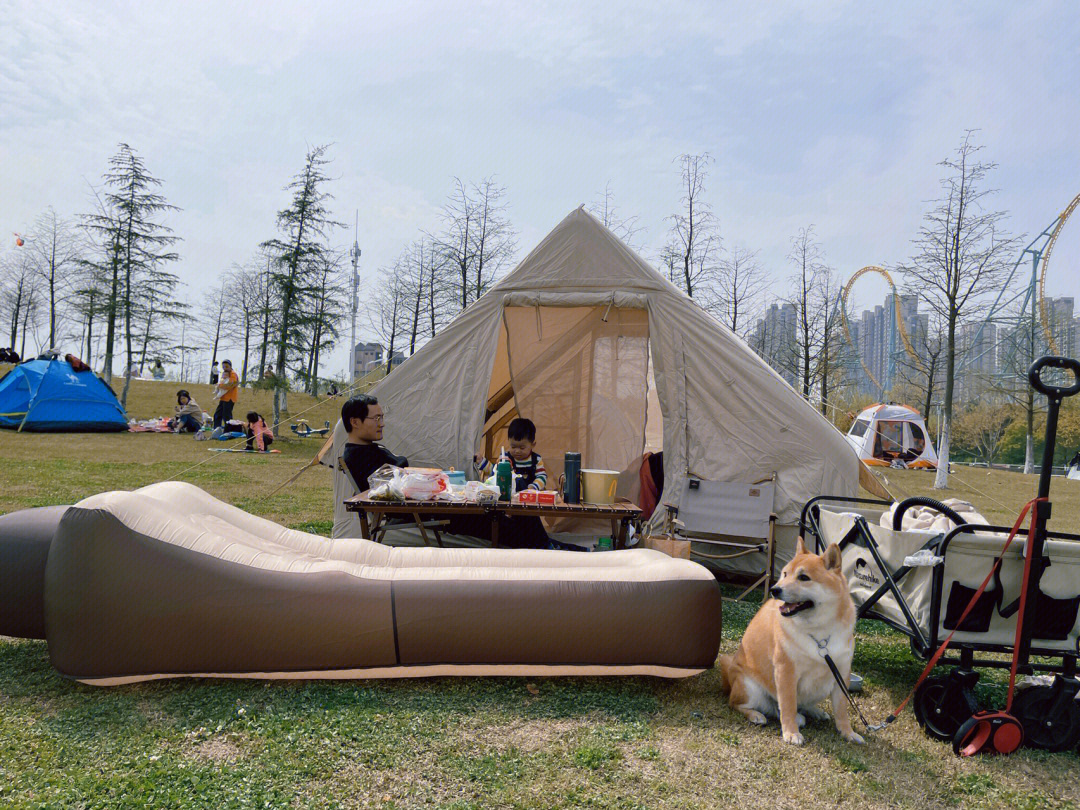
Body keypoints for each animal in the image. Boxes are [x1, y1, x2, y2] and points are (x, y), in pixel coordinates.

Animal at [721, 540, 864, 747]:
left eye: (804, 577)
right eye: (785, 574)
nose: (774, 589)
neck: (820, 632)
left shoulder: (841, 672)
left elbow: (842, 710)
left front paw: (848, 733)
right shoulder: (786, 671)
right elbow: (788, 706)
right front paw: (791, 732)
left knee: (799, 706)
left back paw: (815, 711)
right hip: (750, 688)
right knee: (740, 704)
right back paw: (757, 715)